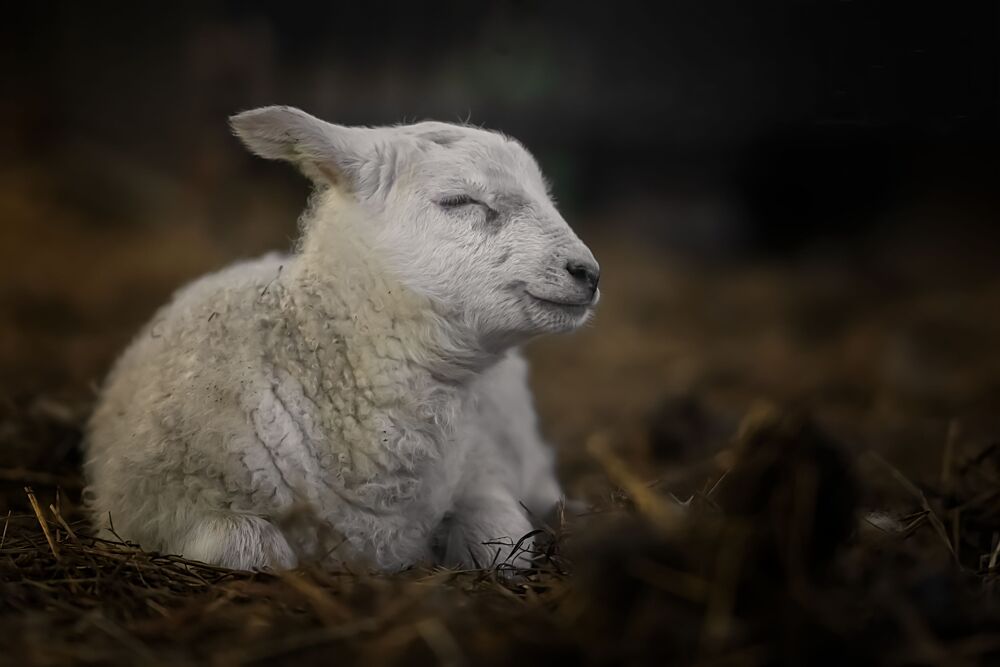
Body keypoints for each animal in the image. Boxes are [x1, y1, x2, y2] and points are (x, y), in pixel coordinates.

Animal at [84, 106, 601, 572]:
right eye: (460, 201)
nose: (588, 273)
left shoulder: (483, 468)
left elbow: (500, 544)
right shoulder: (154, 506)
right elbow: (250, 550)